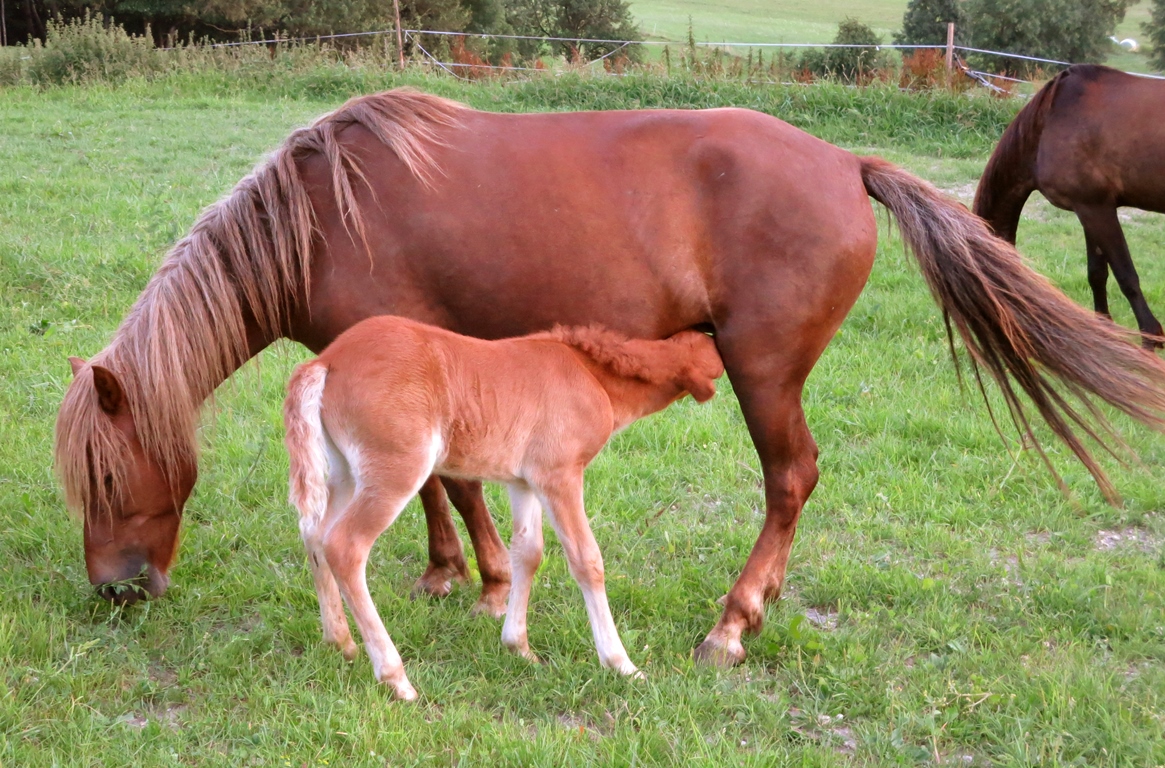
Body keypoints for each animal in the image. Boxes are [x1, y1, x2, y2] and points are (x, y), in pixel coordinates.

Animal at [284, 314, 717, 699]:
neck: (589, 373)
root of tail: (327, 362)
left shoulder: (523, 482)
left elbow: (527, 552)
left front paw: (518, 648)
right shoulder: (559, 476)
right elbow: (586, 560)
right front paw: (621, 664)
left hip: (346, 472)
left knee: (315, 532)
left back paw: (340, 642)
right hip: (395, 471)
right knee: (345, 545)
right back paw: (395, 678)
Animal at [973, 66, 1165, 349]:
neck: (1047, 122)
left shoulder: (1095, 208)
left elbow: (1126, 277)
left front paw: (1151, 338)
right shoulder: (1090, 208)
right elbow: (1097, 274)